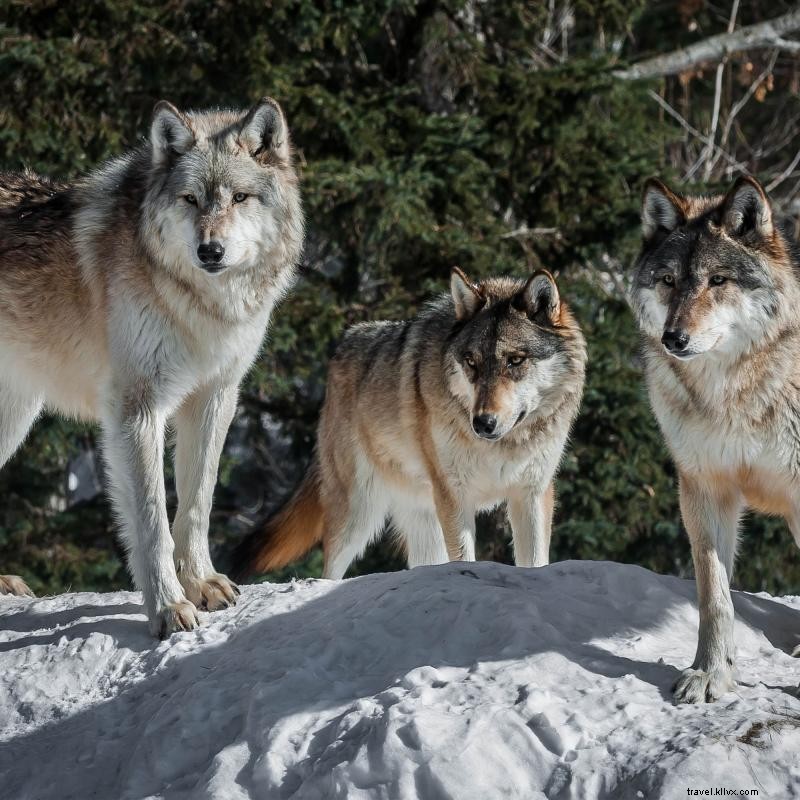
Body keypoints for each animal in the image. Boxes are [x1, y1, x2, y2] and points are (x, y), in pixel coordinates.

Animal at [0, 97, 304, 636]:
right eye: (190, 199)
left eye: (239, 198)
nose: (210, 250)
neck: (199, 305)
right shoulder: (137, 408)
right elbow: (151, 520)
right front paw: (167, 608)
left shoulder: (215, 398)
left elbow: (197, 502)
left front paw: (202, 583)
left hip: (16, 415)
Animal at [234, 268, 584, 580]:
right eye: (471, 362)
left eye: (515, 360)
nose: (483, 423)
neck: (502, 447)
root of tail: (343, 343)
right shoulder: (455, 496)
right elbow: (464, 557)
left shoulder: (532, 493)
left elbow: (534, 562)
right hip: (358, 514)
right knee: (330, 570)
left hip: (420, 518)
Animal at [636, 173, 796, 700]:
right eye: (668, 281)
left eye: (717, 281)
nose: (674, 339)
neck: (732, 396)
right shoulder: (705, 488)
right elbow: (714, 597)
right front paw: (710, 673)